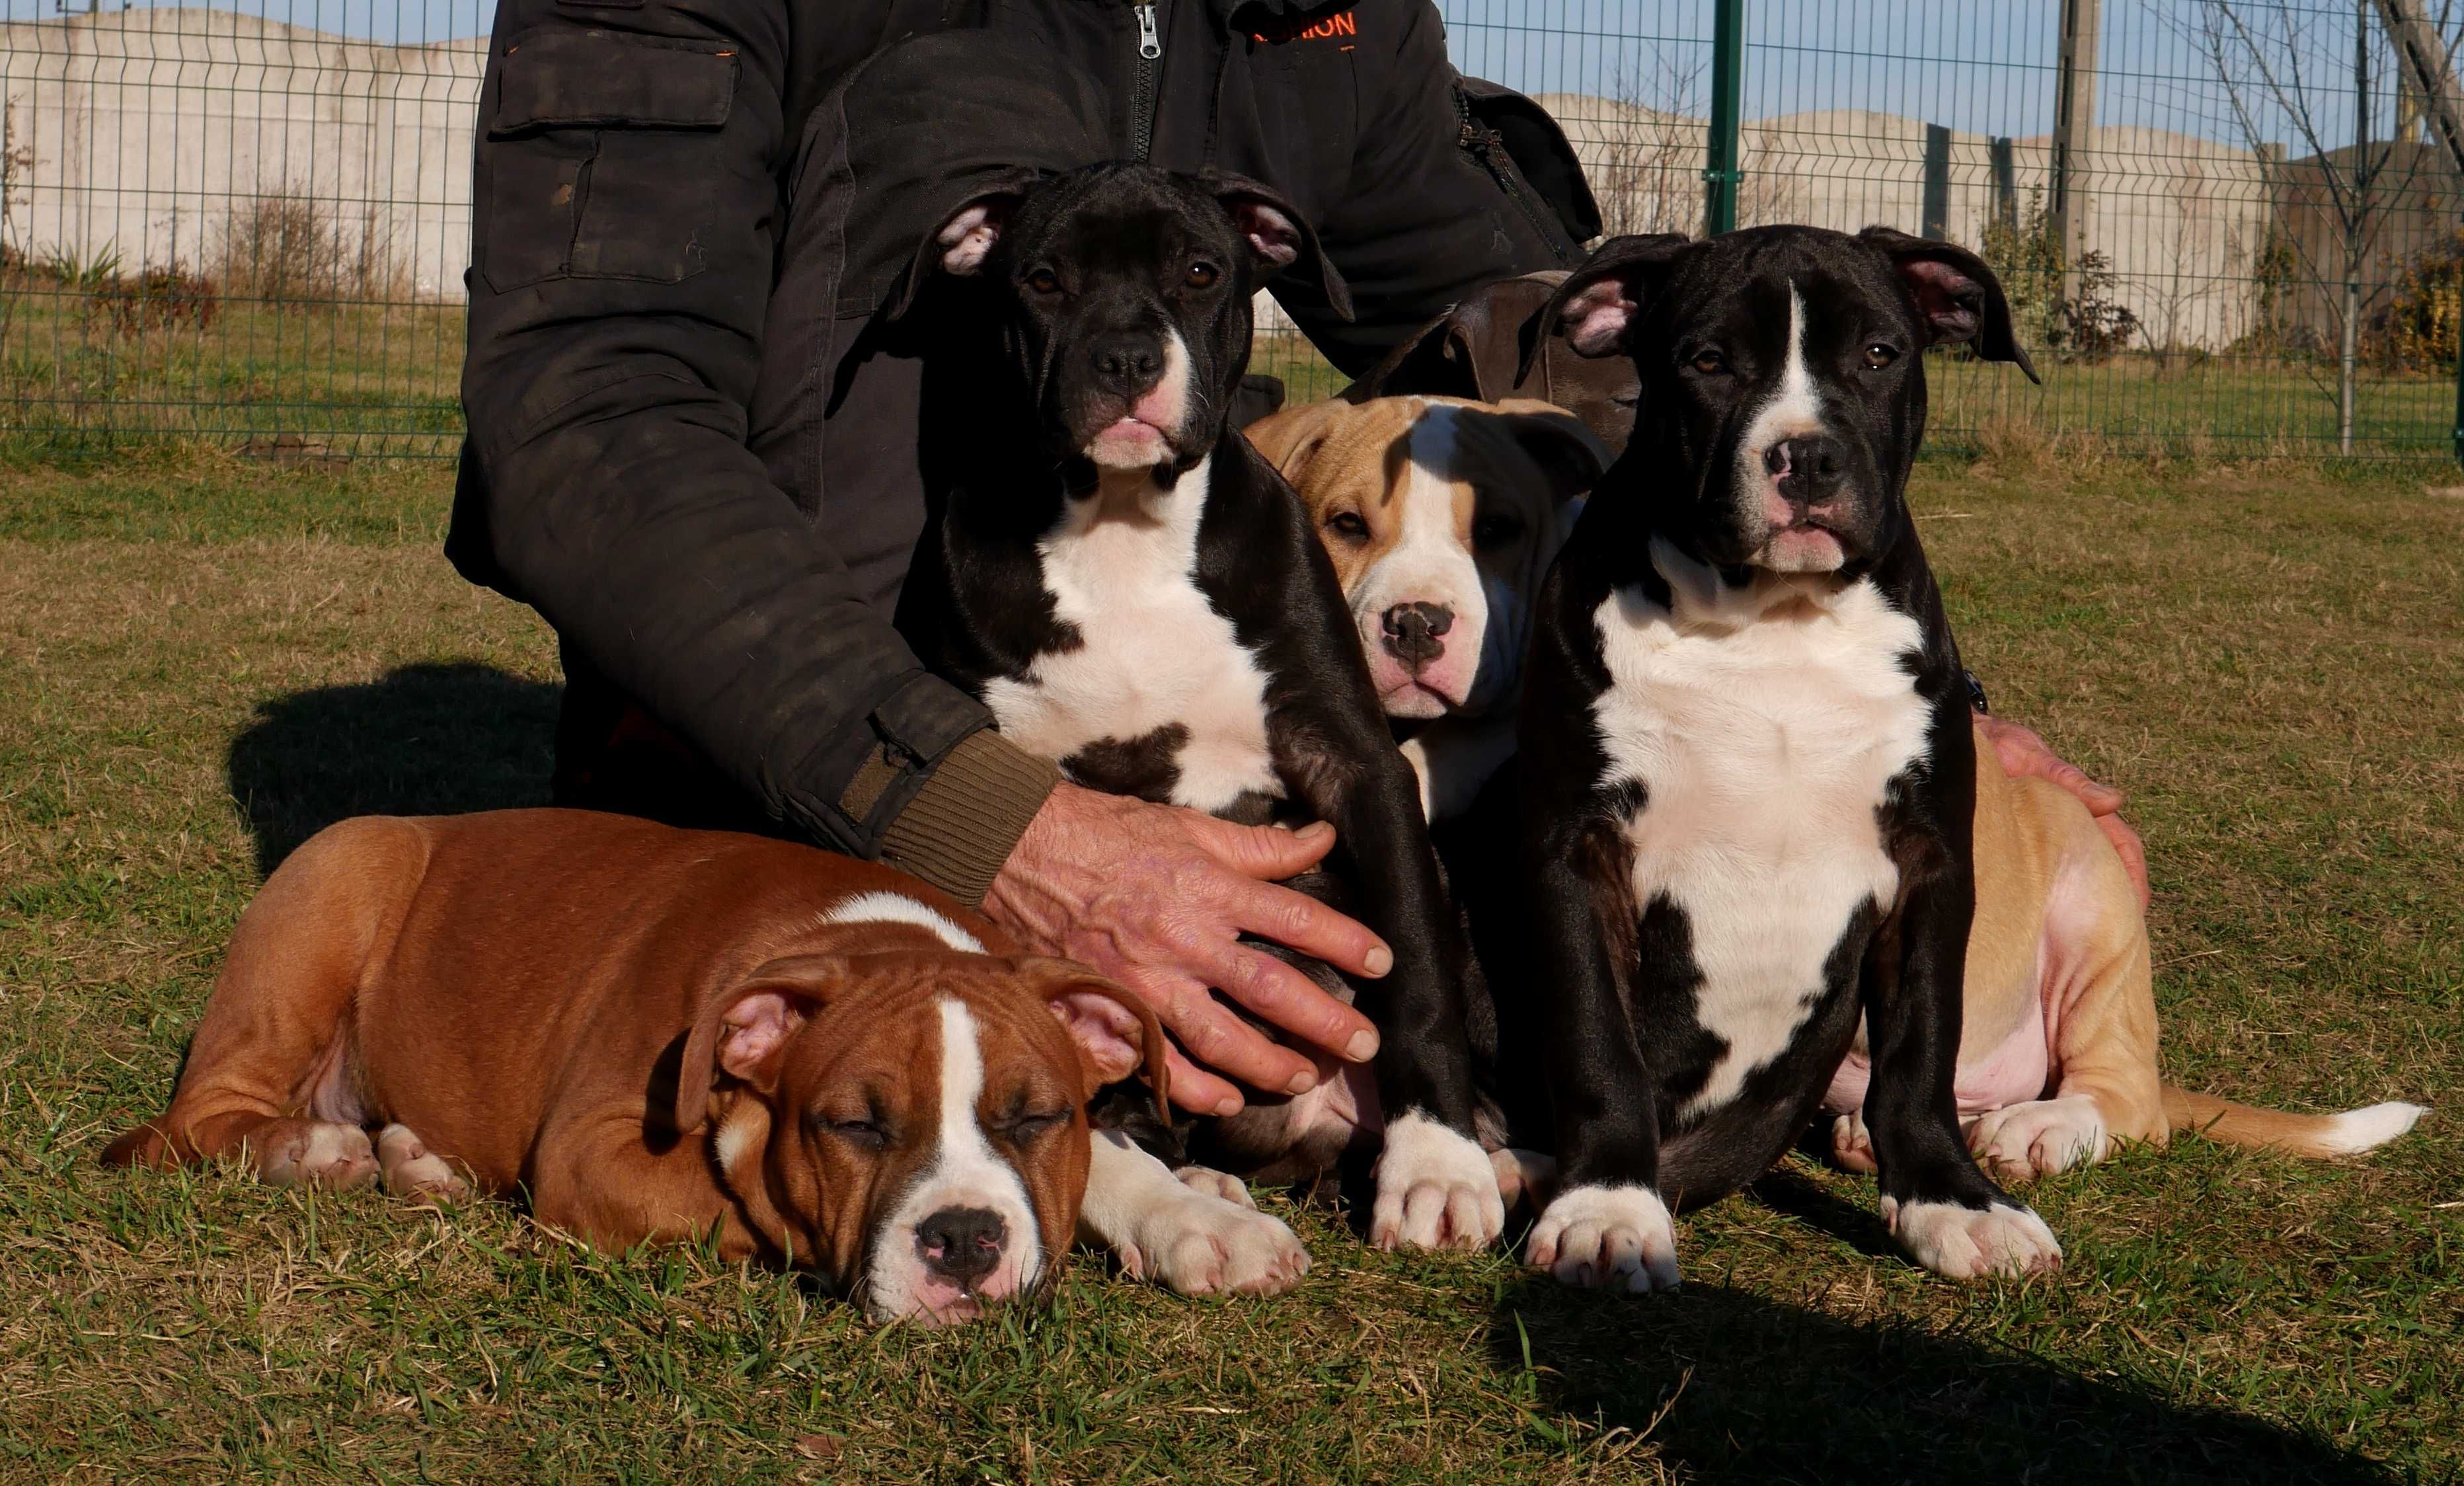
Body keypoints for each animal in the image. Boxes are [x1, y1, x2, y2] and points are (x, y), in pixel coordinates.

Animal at [108, 813, 1311, 1321]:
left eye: (1035, 1118)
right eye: (854, 1126)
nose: (965, 1240)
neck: (871, 935)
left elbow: (1110, 1164)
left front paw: (1197, 1212)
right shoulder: (594, 1151)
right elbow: (745, 1192)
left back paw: (414, 1158)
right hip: (338, 875)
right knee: (196, 1122)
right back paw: (314, 1148)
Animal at [887, 163, 1498, 1257]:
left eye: (1203, 272)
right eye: (1042, 279)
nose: (1127, 356)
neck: (1125, 523)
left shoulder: (1356, 763)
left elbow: (1415, 973)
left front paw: (1440, 1166)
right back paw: (1190, 1205)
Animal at [1518, 224, 2060, 1291]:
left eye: (1880, 354)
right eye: (1707, 362)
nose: (1804, 455)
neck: (1773, 620)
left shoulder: (1931, 857)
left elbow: (1922, 1047)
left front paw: (1953, 1201)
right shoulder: (1573, 850)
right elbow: (1597, 1039)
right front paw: (1607, 1207)